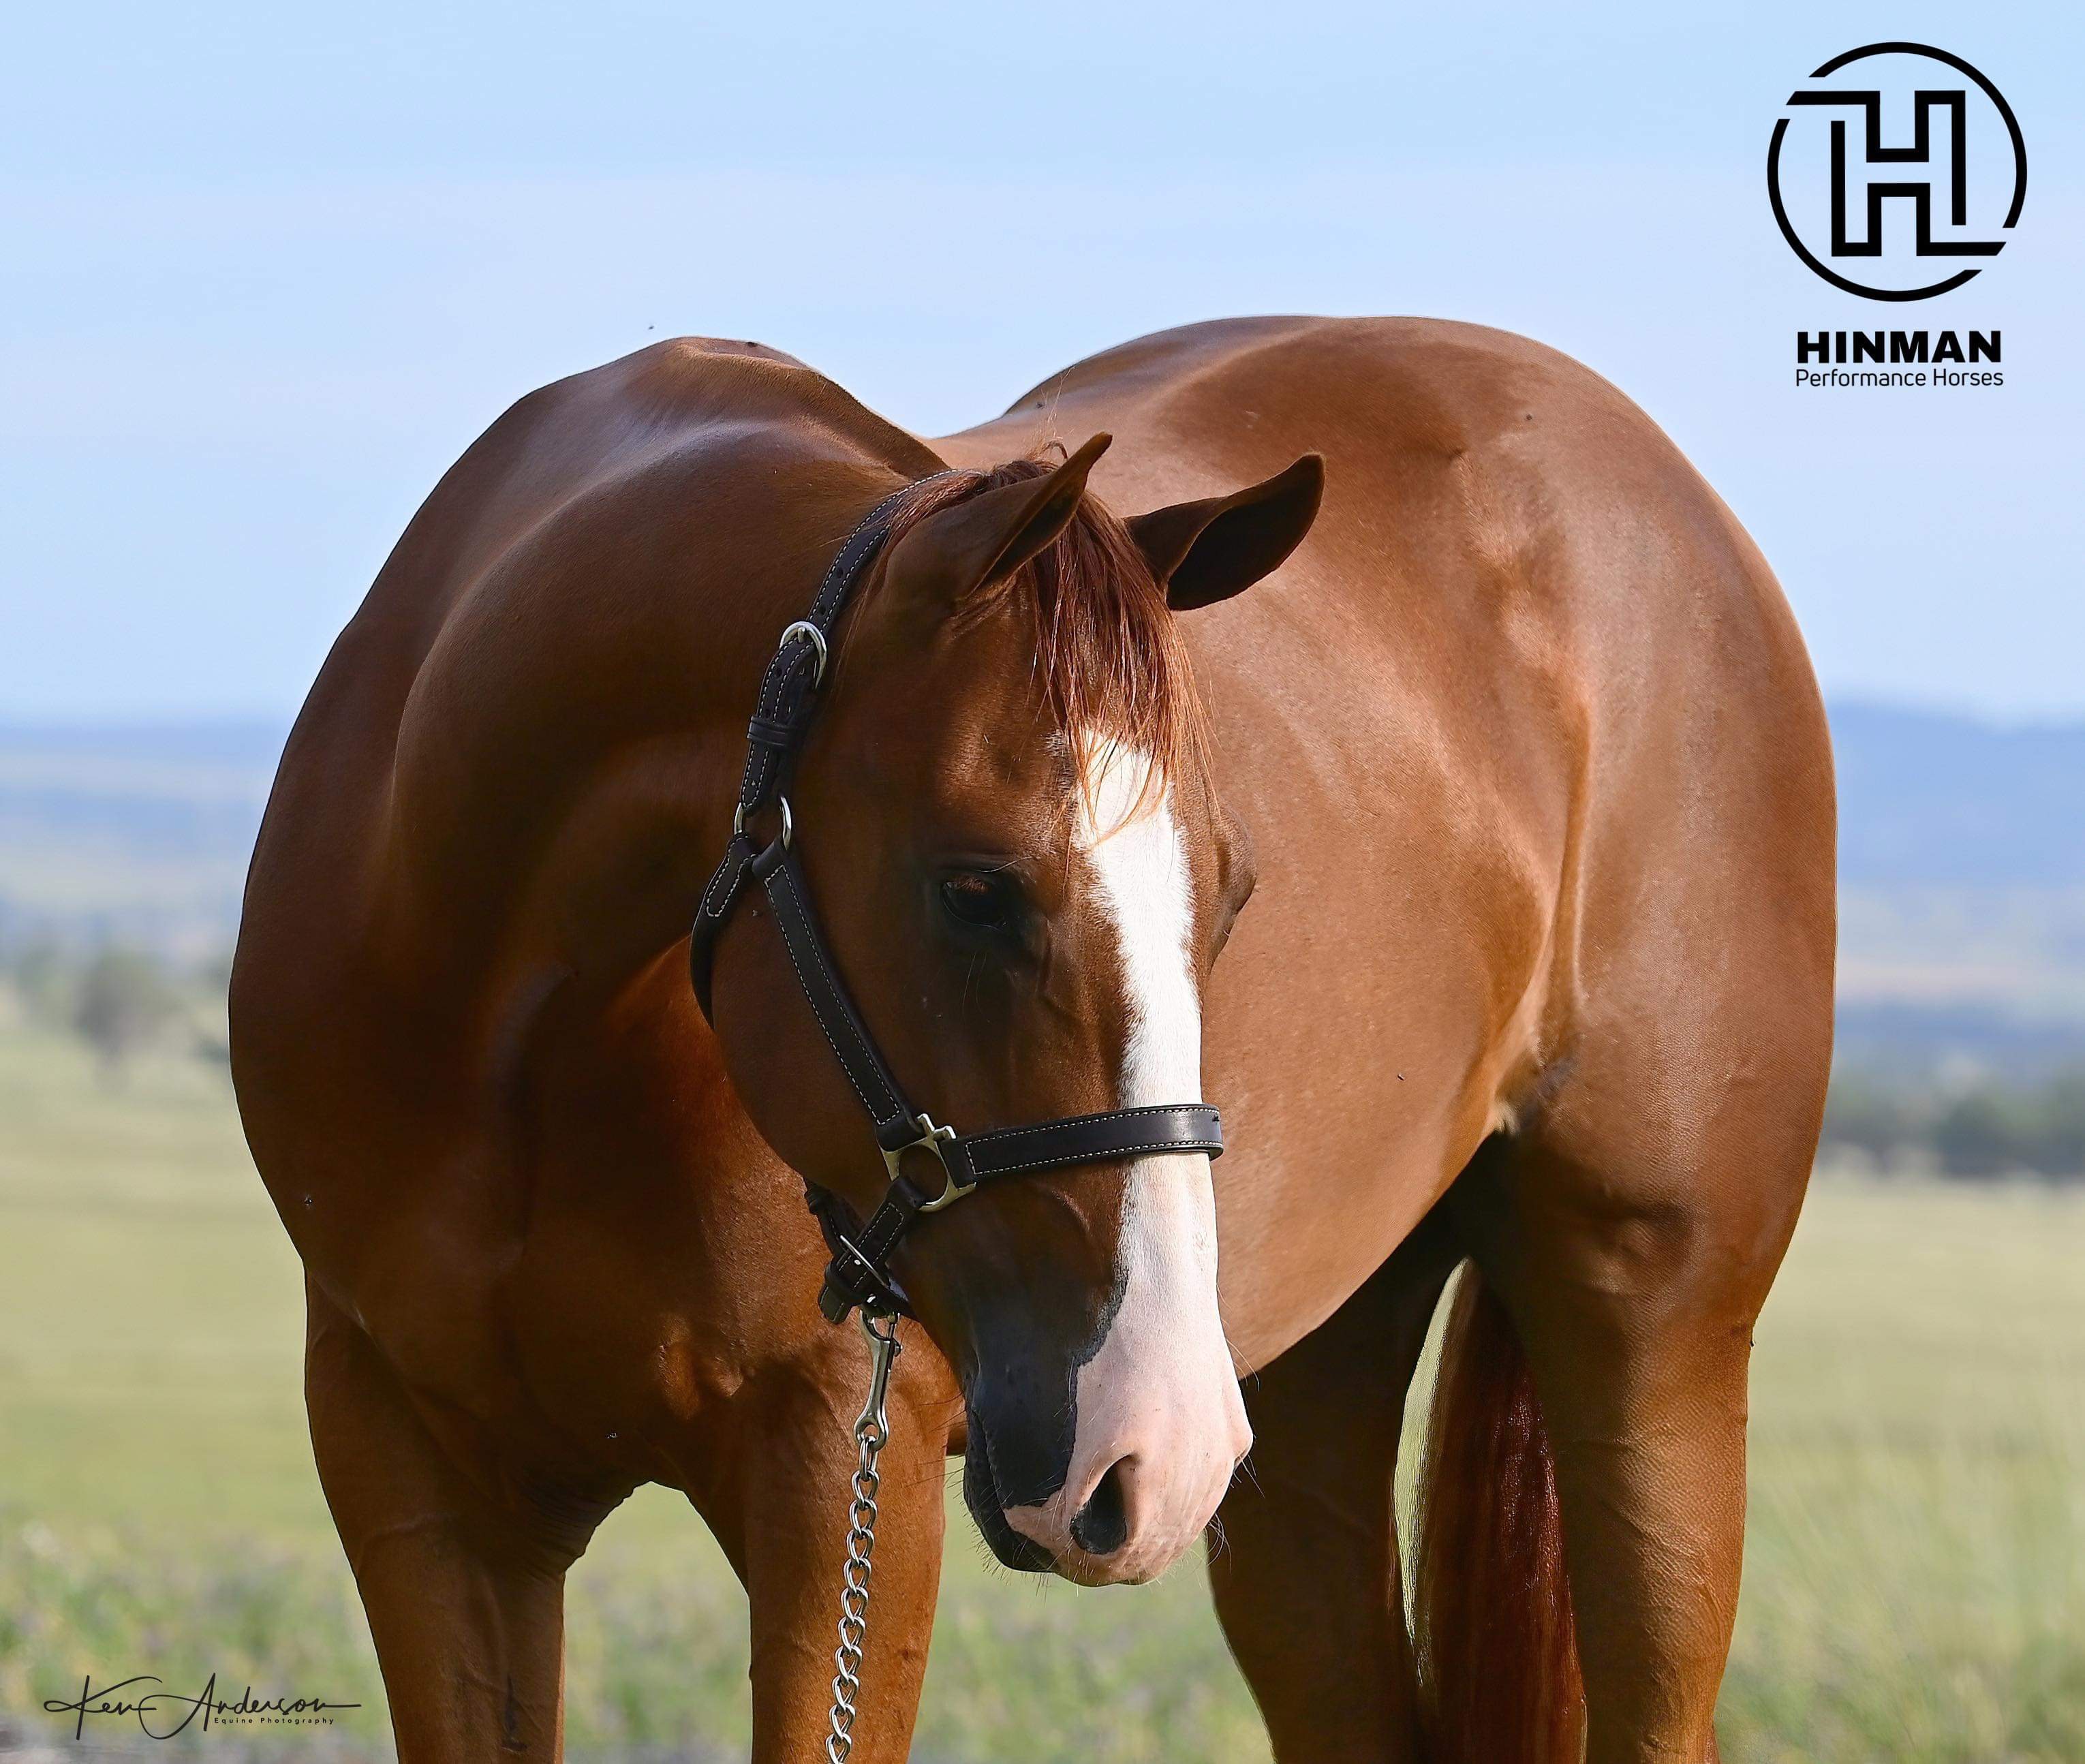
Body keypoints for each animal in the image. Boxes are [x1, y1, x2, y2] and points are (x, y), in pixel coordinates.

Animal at [229, 315, 1834, 1764]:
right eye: (974, 887)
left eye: (1233, 890)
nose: (1152, 1437)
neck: (510, 1022)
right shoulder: (414, 1480)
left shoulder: (840, 1482)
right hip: (1300, 1400)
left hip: (1648, 1346)